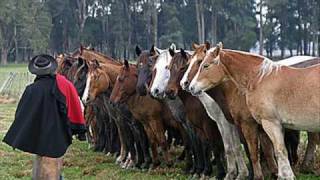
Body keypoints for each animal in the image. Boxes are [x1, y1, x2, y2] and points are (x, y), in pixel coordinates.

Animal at [190, 42, 320, 179]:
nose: (191, 87)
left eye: (205, 65)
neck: (259, 78)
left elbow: (276, 151)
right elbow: (277, 152)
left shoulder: (268, 123)